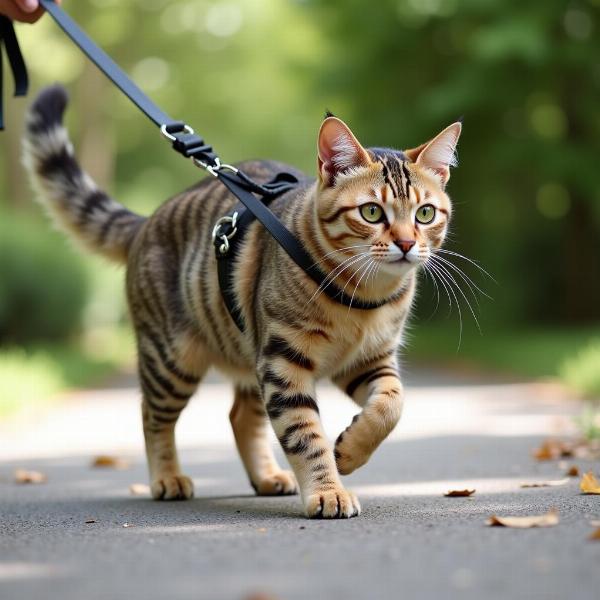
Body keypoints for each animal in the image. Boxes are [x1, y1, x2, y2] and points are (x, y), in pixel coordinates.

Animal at [23, 85, 462, 520]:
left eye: (425, 214)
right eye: (371, 212)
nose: (406, 243)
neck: (362, 297)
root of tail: (146, 222)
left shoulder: (369, 360)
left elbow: (392, 404)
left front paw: (350, 451)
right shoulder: (285, 364)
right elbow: (306, 435)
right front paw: (328, 490)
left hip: (248, 353)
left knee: (239, 416)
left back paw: (267, 477)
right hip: (173, 359)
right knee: (152, 416)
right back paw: (167, 478)